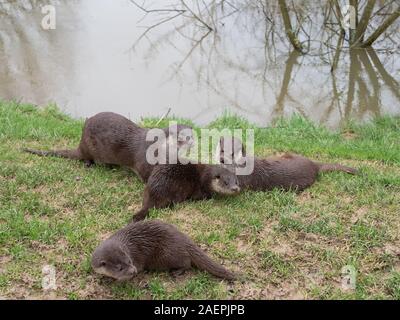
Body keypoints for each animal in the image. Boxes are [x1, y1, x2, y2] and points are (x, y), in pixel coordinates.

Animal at [22, 112, 195, 182]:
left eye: (193, 135)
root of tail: (80, 144)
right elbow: (145, 176)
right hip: (89, 147)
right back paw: (90, 164)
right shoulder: (143, 163)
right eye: (182, 139)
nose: (193, 142)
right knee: (86, 158)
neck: (158, 148)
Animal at [91, 220, 234, 280]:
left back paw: (177, 272)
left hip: (168, 254)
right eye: (120, 268)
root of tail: (183, 238)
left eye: (130, 261)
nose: (133, 271)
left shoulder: (137, 260)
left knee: (186, 263)